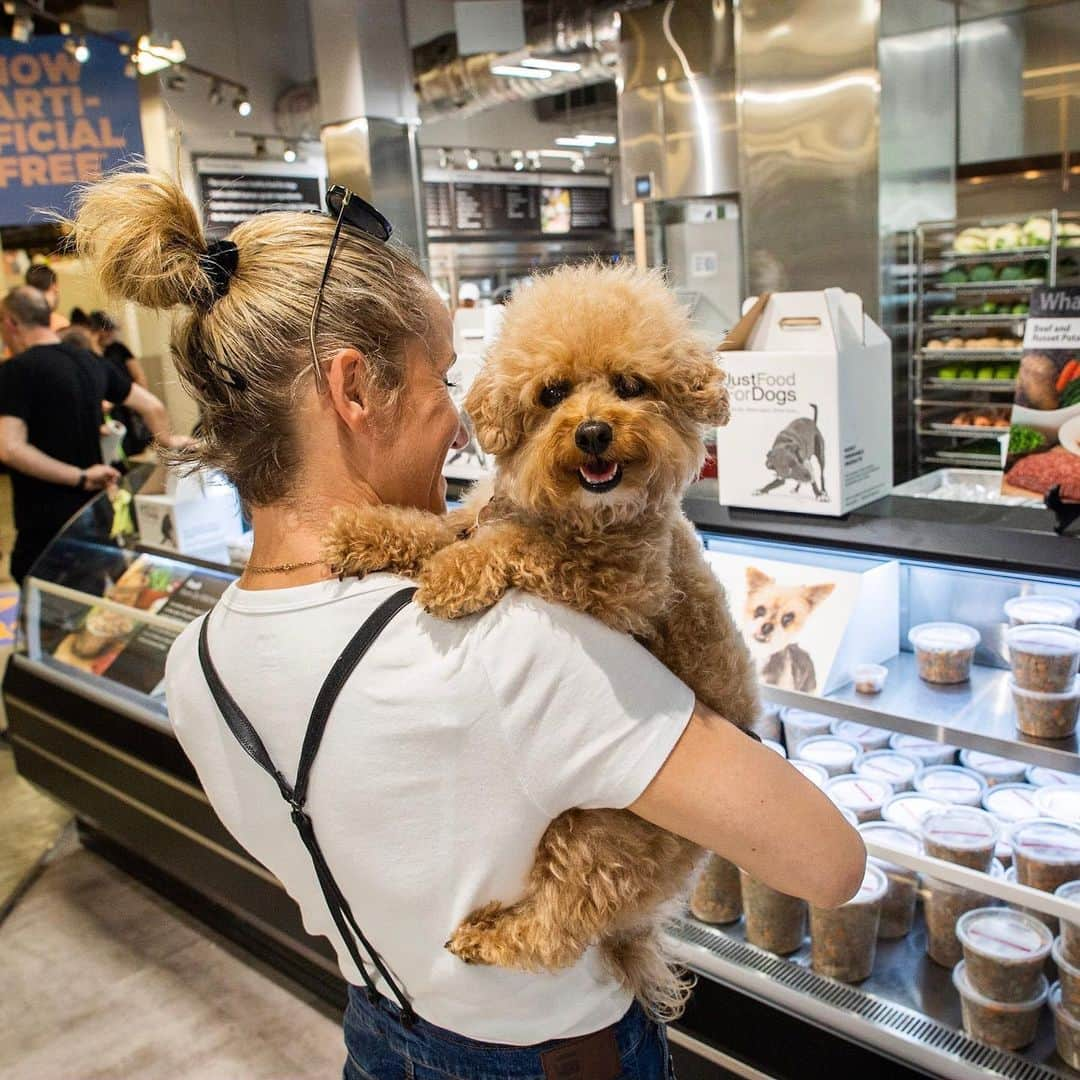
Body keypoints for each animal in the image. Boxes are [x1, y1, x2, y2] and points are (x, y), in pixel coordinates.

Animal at [324, 263, 756, 1019]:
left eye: (630, 385)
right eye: (552, 392)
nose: (592, 432)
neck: (585, 514)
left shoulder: (619, 586)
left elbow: (517, 545)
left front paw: (456, 575)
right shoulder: (484, 513)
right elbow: (444, 526)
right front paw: (366, 532)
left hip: (604, 833)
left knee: (561, 925)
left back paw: (492, 937)